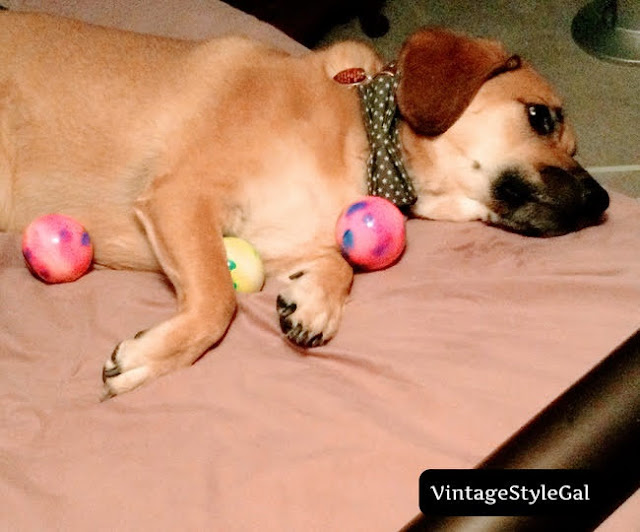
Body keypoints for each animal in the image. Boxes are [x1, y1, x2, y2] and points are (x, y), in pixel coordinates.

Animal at [0, 13, 609, 397]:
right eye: (540, 117)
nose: (602, 200)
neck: (361, 135)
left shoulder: (290, 233)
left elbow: (340, 263)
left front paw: (315, 299)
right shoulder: (181, 196)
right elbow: (217, 301)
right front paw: (149, 359)